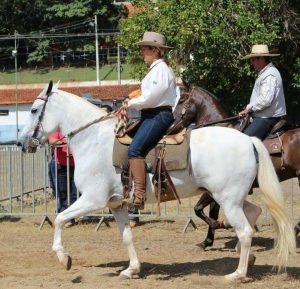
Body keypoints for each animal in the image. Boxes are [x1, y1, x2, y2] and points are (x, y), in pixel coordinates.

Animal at [172, 85, 300, 248]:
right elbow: (211, 211)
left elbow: (198, 209)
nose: (171, 124)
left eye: (181, 100)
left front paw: (221, 225)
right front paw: (207, 241)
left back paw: (294, 232)